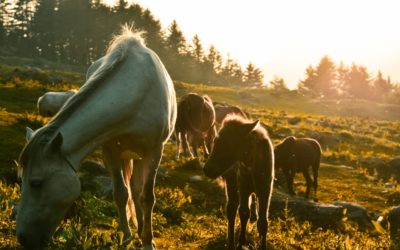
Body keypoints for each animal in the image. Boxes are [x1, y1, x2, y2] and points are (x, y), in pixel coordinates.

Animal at [16, 25, 177, 250]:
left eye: (36, 183)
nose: (22, 238)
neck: (135, 92)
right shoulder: (110, 150)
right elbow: (121, 193)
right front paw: (126, 238)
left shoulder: (154, 150)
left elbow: (147, 197)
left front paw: (147, 242)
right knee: (133, 189)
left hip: (141, 155)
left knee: (139, 191)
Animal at [205, 115, 274, 250]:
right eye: (215, 141)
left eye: (228, 143)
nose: (207, 169)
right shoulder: (243, 187)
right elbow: (243, 212)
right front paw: (241, 243)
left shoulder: (265, 189)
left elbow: (263, 221)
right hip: (232, 184)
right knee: (232, 209)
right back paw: (231, 243)